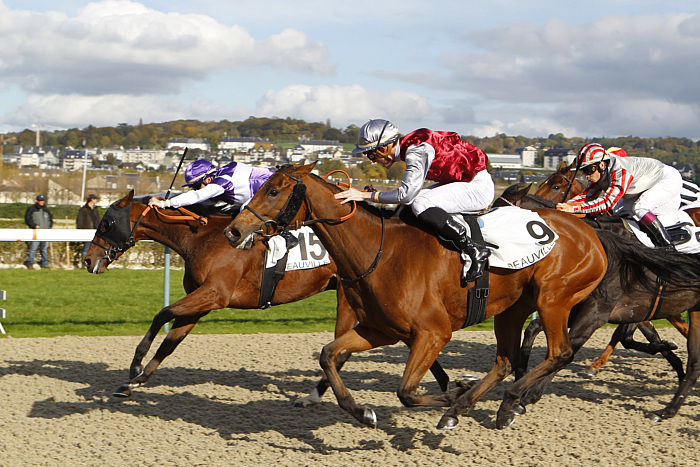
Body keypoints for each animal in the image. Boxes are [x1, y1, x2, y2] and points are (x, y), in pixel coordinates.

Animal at [86, 190, 448, 402]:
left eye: (106, 223)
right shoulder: (201, 303)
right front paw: (134, 382)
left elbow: (161, 314)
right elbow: (170, 343)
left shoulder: (214, 294)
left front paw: (134, 366)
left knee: (342, 350)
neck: (203, 236)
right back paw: (443, 381)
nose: (88, 260)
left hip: (349, 300)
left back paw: (314, 395)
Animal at [220, 163, 616, 430]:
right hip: (513, 307)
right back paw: (472, 409)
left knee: (560, 352)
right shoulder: (379, 330)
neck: (378, 252)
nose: (233, 230)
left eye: (273, 191)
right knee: (505, 360)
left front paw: (452, 392)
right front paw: (362, 412)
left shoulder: (433, 332)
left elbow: (406, 391)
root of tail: (589, 231)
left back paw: (500, 402)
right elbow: (329, 355)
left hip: (554, 299)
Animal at [492, 184, 700, 424]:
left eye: (556, 185)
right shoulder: (580, 308)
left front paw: (525, 397)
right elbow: (535, 331)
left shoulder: (600, 313)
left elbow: (574, 348)